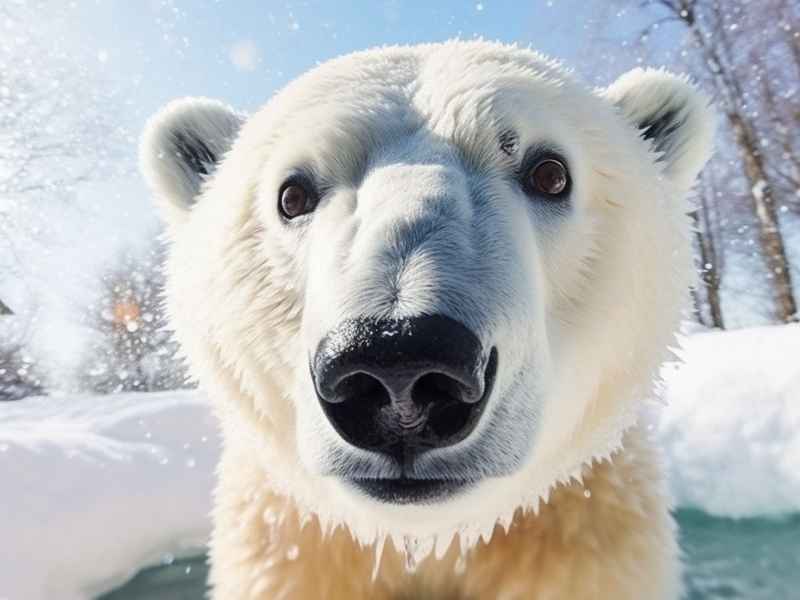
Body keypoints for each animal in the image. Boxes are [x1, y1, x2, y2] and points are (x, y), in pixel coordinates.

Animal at [140, 40, 714, 599]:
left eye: (551, 173)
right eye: (292, 194)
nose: (399, 362)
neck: (428, 540)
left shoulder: (584, 530)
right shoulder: (294, 547)